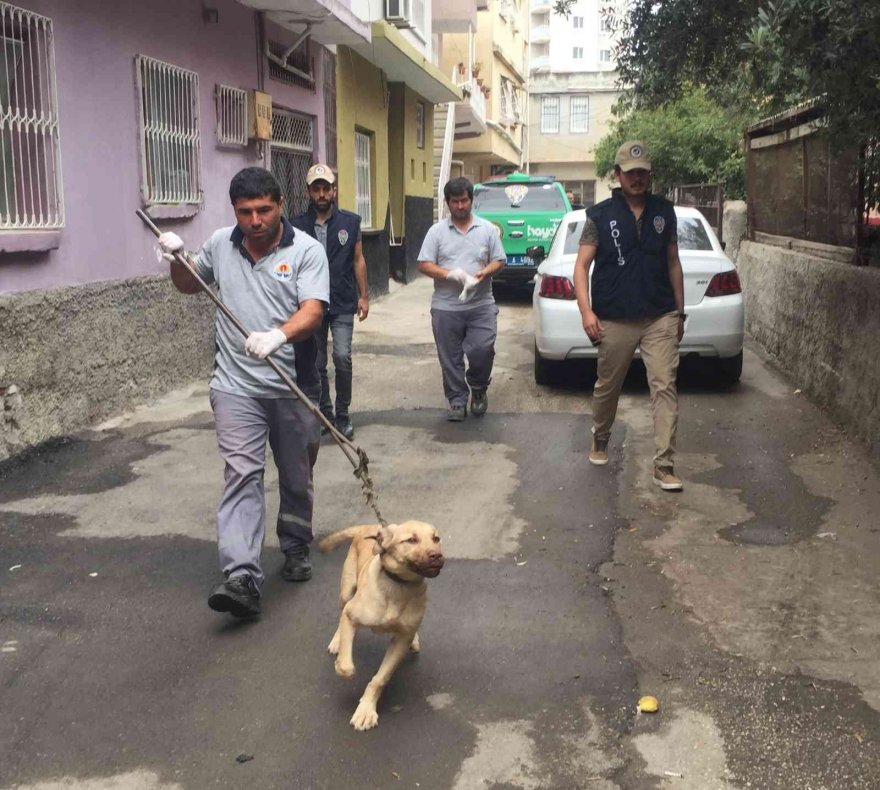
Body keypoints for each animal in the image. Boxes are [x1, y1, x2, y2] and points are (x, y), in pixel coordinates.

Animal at [318, 524, 446, 732]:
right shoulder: (352, 613)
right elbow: (346, 666)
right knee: (341, 612)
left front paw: (366, 710)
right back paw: (337, 641)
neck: (399, 585)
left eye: (436, 539)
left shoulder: (400, 641)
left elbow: (380, 679)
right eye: (411, 540)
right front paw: (342, 665)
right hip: (346, 592)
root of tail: (368, 526)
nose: (437, 555)